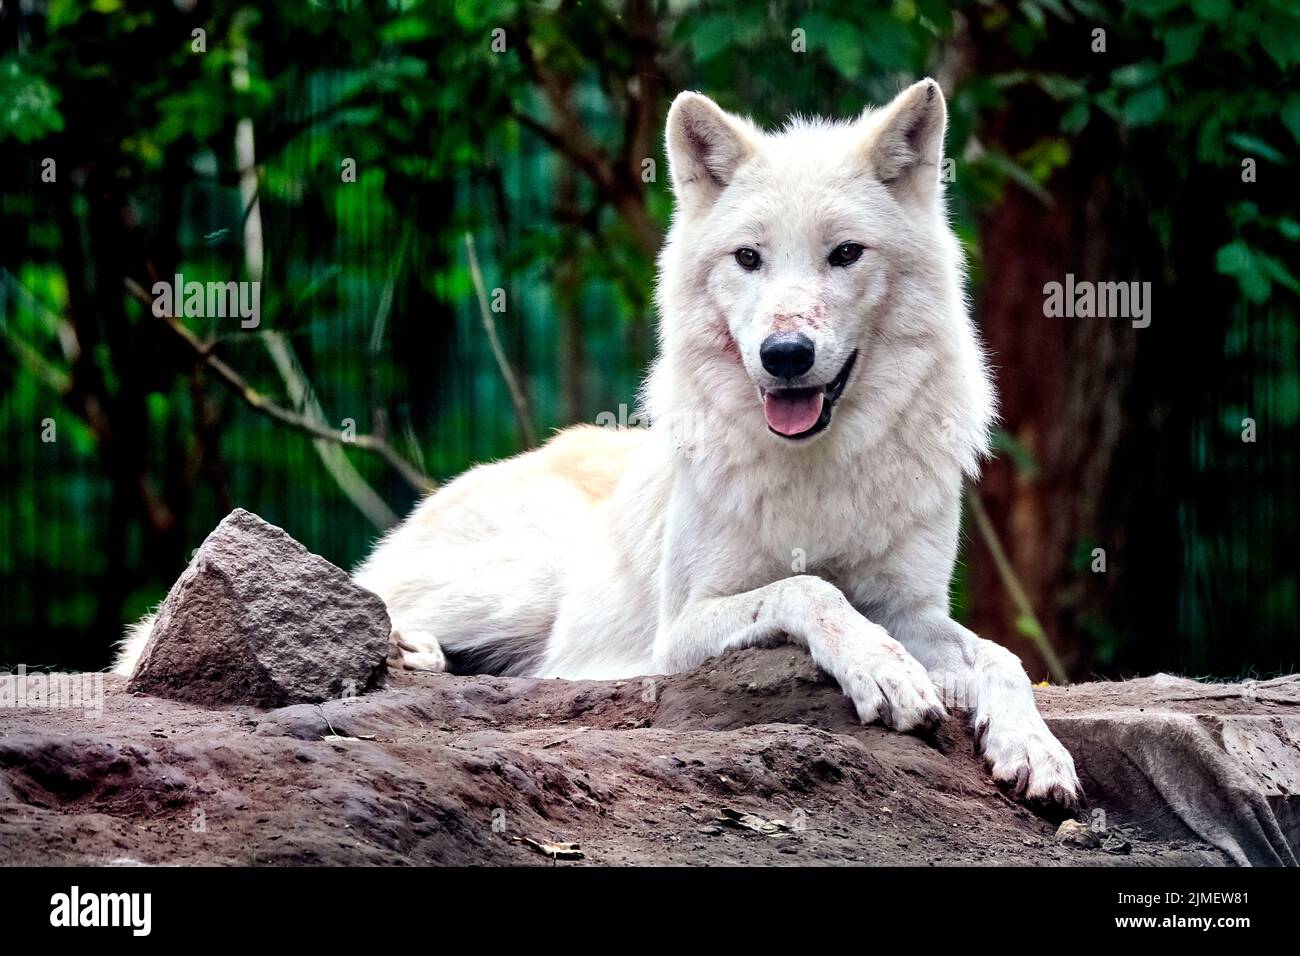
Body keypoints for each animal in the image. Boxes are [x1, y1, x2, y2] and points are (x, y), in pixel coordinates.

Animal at [116, 80, 1080, 805]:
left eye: (845, 254)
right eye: (749, 259)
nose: (785, 355)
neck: (819, 468)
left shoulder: (914, 607)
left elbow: (1000, 657)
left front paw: (1035, 749)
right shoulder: (681, 630)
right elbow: (811, 589)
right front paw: (886, 674)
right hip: (526, 580)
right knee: (363, 606)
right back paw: (408, 649)